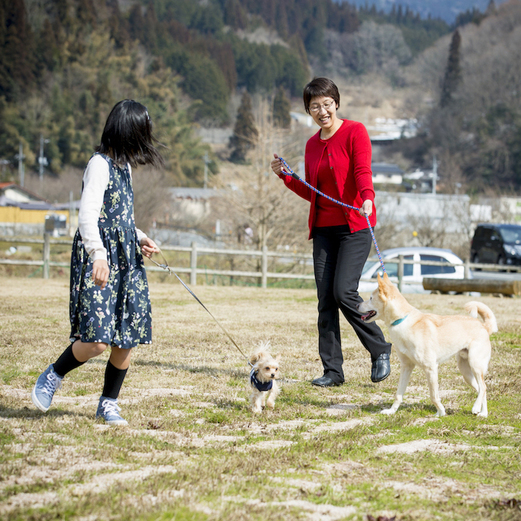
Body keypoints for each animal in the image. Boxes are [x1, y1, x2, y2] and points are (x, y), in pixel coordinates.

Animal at [358, 270, 496, 416]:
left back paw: (476, 407)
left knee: (483, 387)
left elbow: (433, 395)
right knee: (482, 389)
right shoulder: (406, 367)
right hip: (466, 372)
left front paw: (441, 412)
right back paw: (483, 413)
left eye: (371, 298)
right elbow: (398, 394)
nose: (356, 305)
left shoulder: (431, 368)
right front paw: (391, 411)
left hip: (475, 365)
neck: (402, 321)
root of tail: (483, 326)